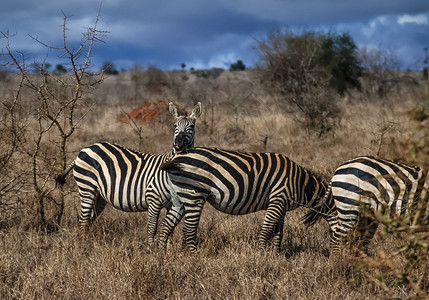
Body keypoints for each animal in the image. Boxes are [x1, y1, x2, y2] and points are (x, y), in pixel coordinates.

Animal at [55, 101, 202, 244]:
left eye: (192, 126)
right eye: (175, 125)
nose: (178, 143)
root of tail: (84, 149)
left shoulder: (173, 204)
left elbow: (168, 230)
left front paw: (168, 249)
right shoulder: (154, 199)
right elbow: (152, 229)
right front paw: (151, 249)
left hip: (100, 195)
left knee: (89, 219)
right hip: (87, 187)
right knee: (83, 220)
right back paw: (83, 244)